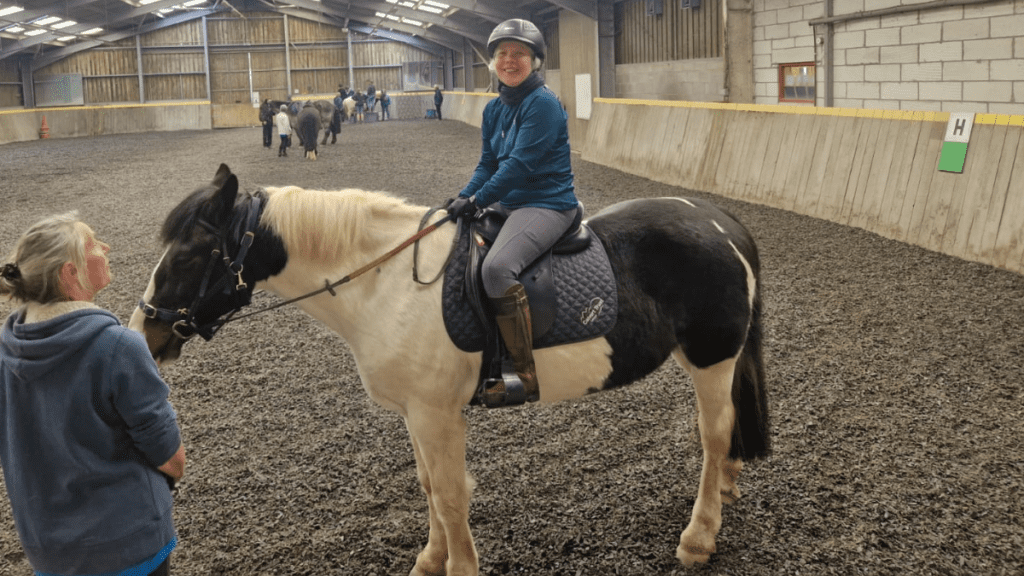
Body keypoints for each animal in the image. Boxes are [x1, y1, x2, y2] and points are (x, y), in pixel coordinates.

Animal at [128, 162, 770, 573]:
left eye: (189, 254)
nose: (144, 331)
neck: (383, 283)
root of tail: (718, 221)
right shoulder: (416, 412)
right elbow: (430, 486)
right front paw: (430, 559)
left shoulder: (438, 414)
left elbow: (452, 493)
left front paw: (457, 565)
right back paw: (727, 489)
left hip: (711, 359)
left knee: (713, 434)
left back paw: (699, 536)